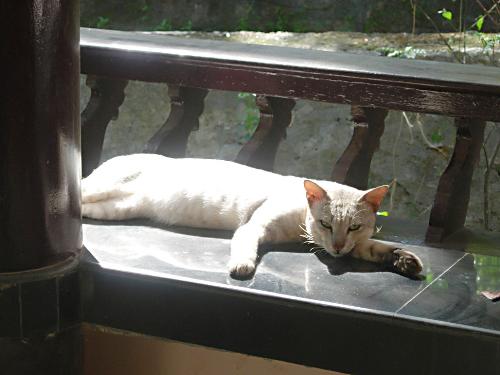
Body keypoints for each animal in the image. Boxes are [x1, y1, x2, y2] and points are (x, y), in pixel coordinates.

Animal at [82, 153, 422, 280]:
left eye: (354, 227)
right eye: (325, 224)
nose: (337, 249)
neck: (301, 232)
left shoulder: (357, 245)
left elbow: (378, 248)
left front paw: (406, 261)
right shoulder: (254, 227)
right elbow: (246, 249)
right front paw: (241, 268)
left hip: (116, 209)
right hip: (101, 189)